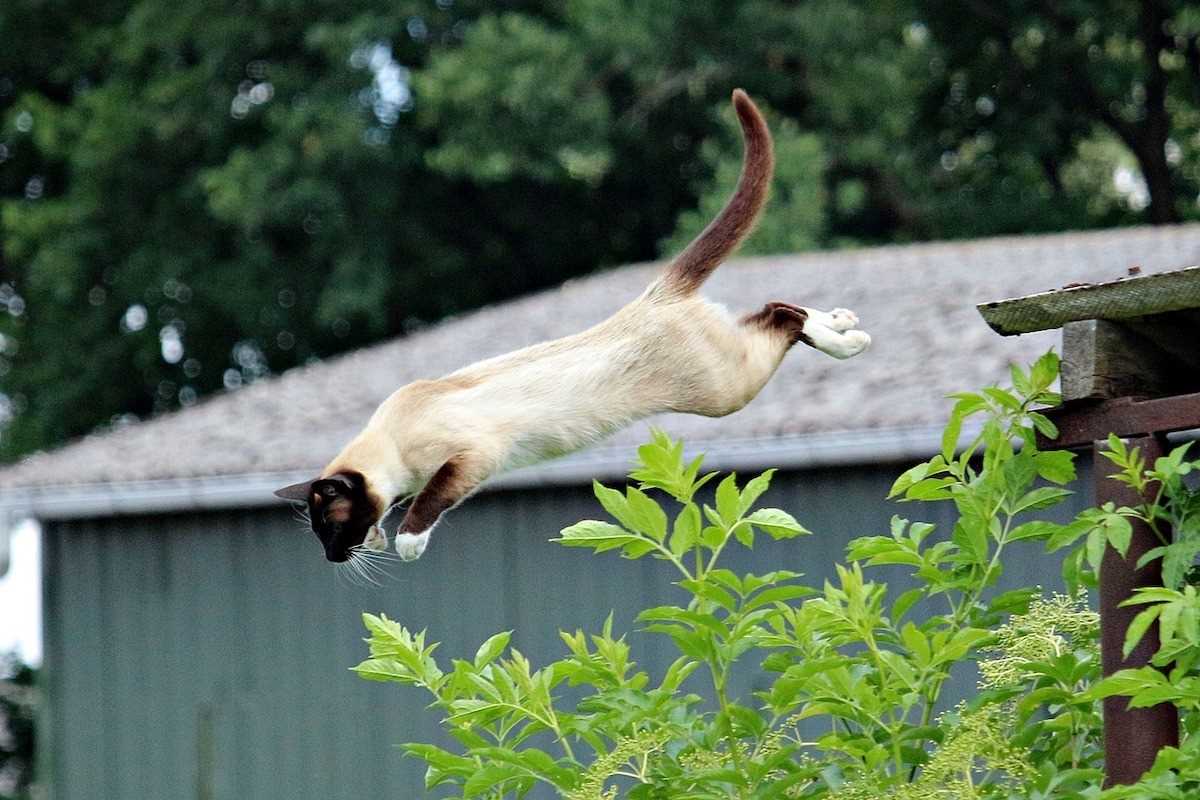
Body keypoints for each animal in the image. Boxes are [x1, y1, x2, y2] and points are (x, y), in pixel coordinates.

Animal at [274, 90, 868, 566]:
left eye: (331, 527)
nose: (332, 559)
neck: (393, 441)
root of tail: (655, 294)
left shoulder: (471, 459)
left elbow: (427, 501)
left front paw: (406, 543)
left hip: (724, 392)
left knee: (784, 319)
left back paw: (851, 340)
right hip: (730, 370)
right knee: (776, 309)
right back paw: (845, 323)